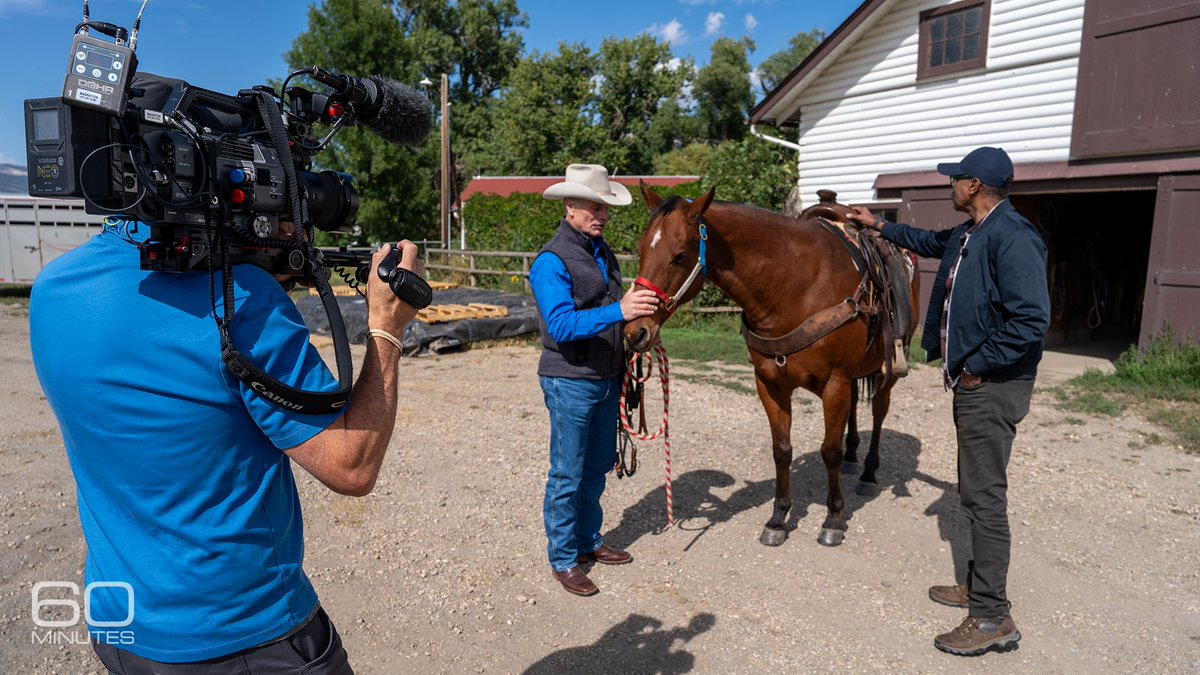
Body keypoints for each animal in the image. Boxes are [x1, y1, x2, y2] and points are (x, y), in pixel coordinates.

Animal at [628, 184, 916, 547]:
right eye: (640, 249)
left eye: (680, 255)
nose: (635, 331)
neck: (795, 286)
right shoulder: (769, 383)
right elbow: (782, 450)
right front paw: (778, 519)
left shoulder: (834, 384)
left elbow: (829, 451)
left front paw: (833, 519)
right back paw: (853, 458)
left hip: (886, 371)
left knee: (878, 412)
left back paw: (867, 472)